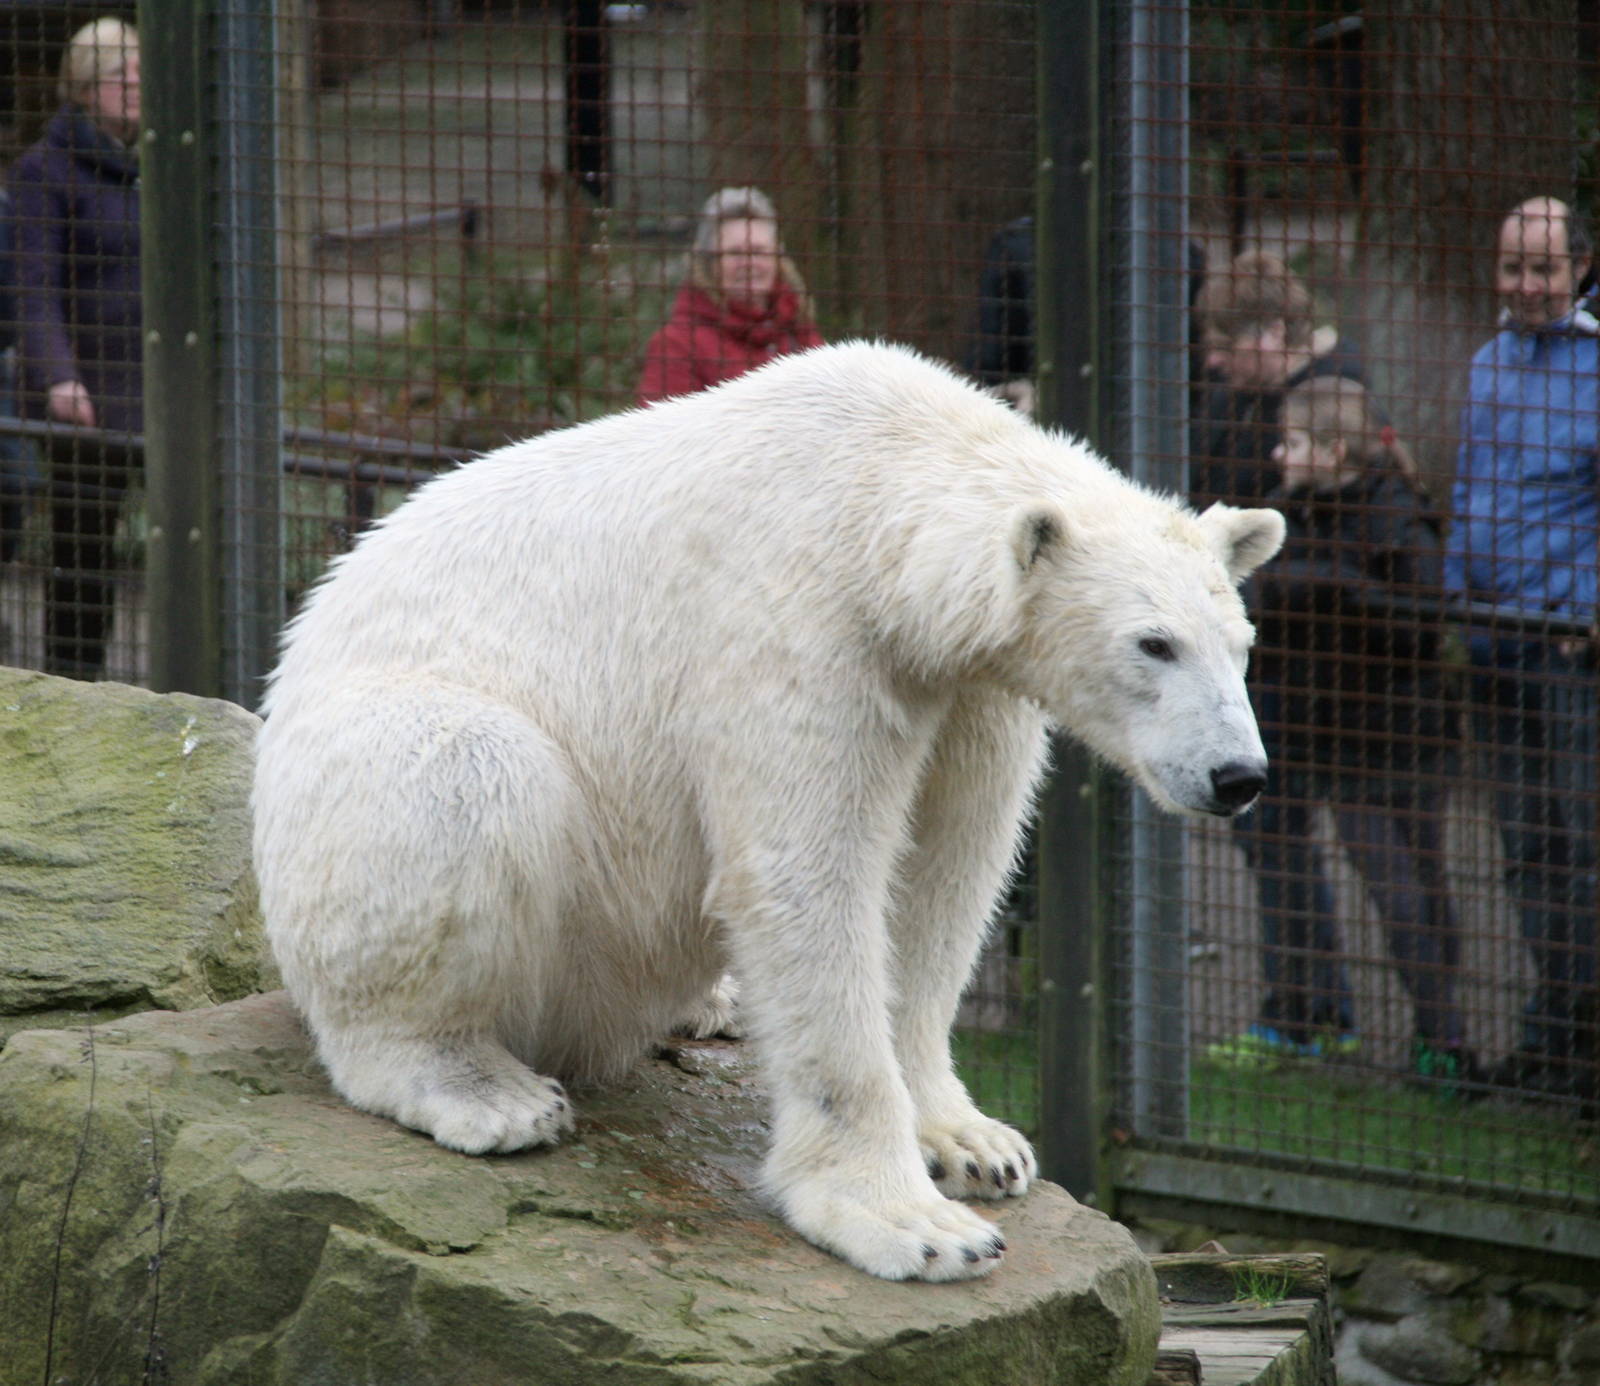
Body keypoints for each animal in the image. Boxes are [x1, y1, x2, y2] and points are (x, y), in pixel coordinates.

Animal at [252, 340, 1285, 1283]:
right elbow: (805, 875)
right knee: (469, 778)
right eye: (1153, 643)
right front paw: (917, 1227)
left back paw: (711, 1005)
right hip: (360, 797)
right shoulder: (795, 629)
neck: (876, 478)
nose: (1239, 775)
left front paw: (976, 1145)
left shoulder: (964, 688)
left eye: (1241, 641)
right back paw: (486, 1091)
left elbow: (946, 872)